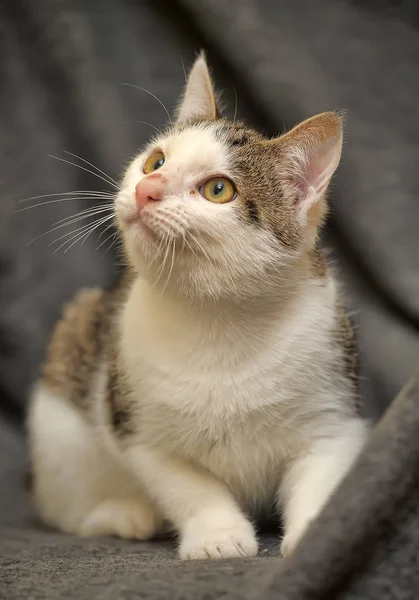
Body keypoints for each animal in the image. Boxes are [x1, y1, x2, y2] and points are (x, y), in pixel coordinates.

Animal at [26, 52, 370, 564]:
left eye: (218, 190)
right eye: (155, 161)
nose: (147, 188)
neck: (219, 319)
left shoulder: (333, 414)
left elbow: (321, 474)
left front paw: (318, 534)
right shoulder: (138, 428)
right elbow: (187, 484)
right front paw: (217, 534)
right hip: (64, 408)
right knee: (66, 504)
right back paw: (123, 514)